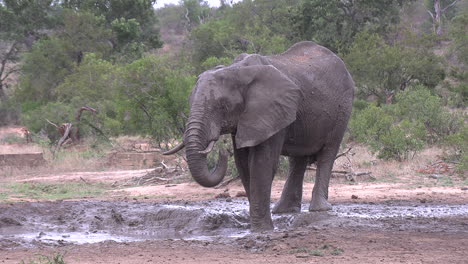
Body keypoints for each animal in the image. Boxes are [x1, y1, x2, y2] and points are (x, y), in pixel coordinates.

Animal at [165, 41, 354, 231]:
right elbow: (242, 163)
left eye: (223, 106)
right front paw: (259, 226)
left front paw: (262, 229)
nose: (222, 151)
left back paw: (320, 209)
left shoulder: (271, 110)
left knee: (328, 153)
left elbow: (261, 162)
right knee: (297, 159)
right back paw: (284, 211)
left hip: (343, 109)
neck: (236, 71)